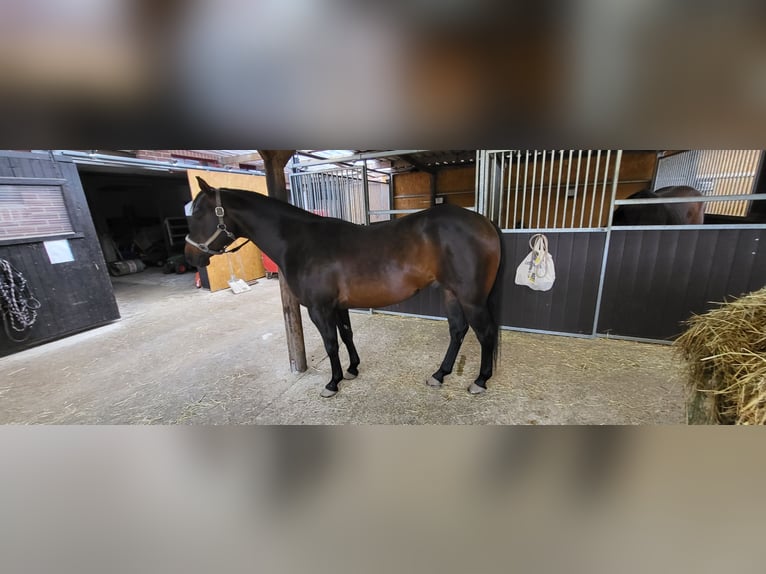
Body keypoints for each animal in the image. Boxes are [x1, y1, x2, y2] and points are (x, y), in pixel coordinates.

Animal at [185, 177, 504, 398]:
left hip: (472, 299)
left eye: (199, 212)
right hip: (451, 293)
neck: (300, 241)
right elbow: (347, 335)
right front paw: (352, 369)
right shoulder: (338, 306)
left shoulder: (319, 308)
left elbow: (330, 343)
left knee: (485, 334)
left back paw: (480, 381)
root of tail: (484, 222)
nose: (190, 256)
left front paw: (332, 383)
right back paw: (439, 374)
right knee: (458, 331)